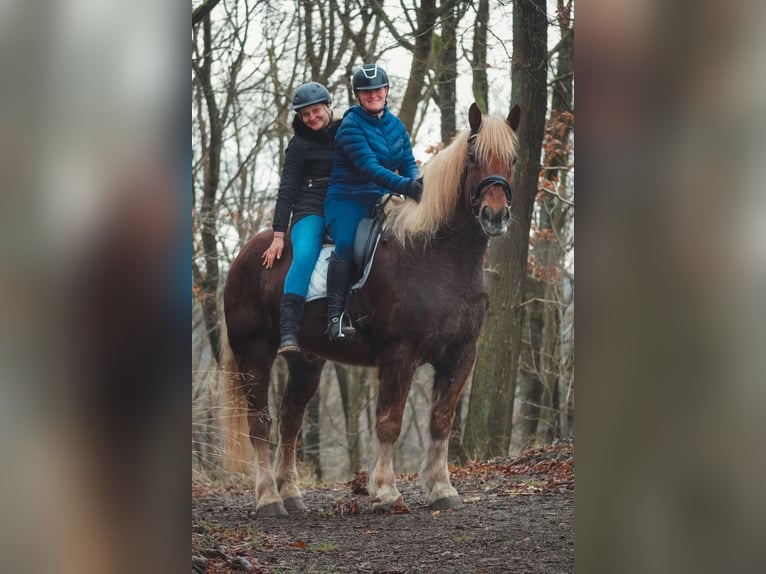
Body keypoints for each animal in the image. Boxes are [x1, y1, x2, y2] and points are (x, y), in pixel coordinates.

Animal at [222, 102, 520, 516]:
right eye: (473, 157)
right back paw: (268, 498)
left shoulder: (461, 354)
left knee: (289, 421)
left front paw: (442, 489)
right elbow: (389, 422)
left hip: (306, 362)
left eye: (513, 159)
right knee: (260, 423)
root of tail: (245, 255)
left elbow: (441, 420)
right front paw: (385, 491)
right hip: (253, 353)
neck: (436, 256)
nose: (495, 215)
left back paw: (291, 494)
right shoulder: (400, 354)